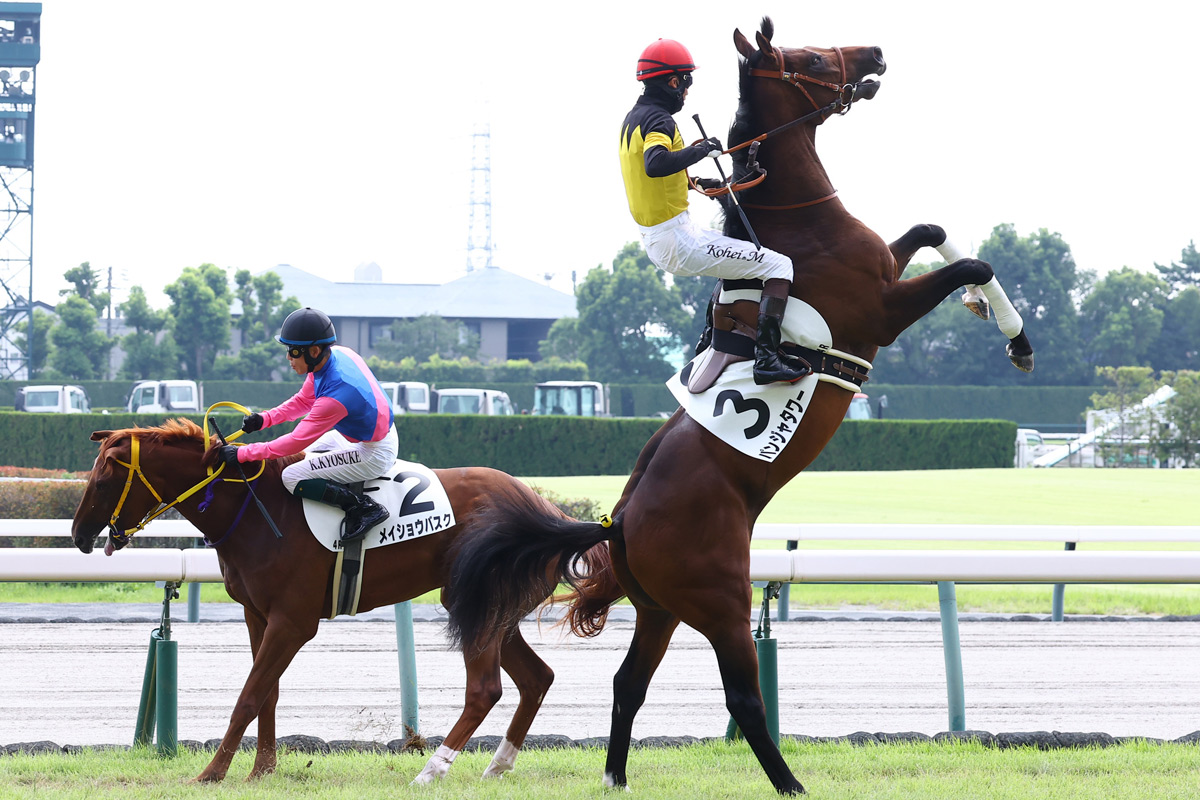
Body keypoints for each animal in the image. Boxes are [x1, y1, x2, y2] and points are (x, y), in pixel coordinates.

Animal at [69, 417, 577, 785]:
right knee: (537, 678)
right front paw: (262, 770)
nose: (79, 537)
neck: (256, 510)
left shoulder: (293, 621)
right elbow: (267, 693)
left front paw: (211, 773)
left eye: (102, 481)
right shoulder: (258, 614)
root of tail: (548, 509)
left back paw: (431, 771)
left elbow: (249, 694)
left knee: (485, 689)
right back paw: (497, 765)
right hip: (484, 607)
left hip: (479, 601)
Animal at [444, 17, 1034, 796]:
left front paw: (987, 308)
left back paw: (616, 778)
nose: (875, 53)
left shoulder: (885, 265)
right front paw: (1016, 336)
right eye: (807, 55)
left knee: (629, 683)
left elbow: (933, 233)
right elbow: (974, 263)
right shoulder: (879, 309)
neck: (795, 223)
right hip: (721, 599)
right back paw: (790, 782)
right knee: (742, 696)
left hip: (659, 608)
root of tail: (617, 521)